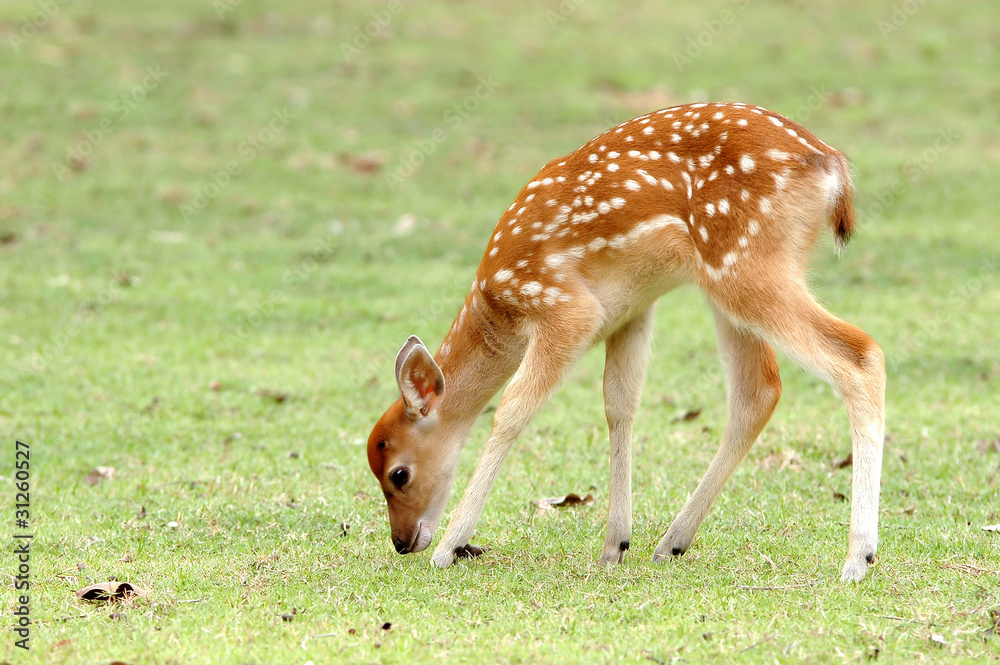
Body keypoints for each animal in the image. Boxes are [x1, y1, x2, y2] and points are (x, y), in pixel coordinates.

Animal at [366, 101, 884, 580]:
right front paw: (614, 545)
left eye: (398, 474)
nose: (402, 542)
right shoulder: (631, 311)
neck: (499, 306)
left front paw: (450, 546)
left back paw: (857, 559)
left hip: (744, 262)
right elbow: (619, 403)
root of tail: (833, 167)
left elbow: (513, 409)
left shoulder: (565, 308)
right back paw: (673, 541)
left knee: (859, 355)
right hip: (731, 280)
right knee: (758, 391)